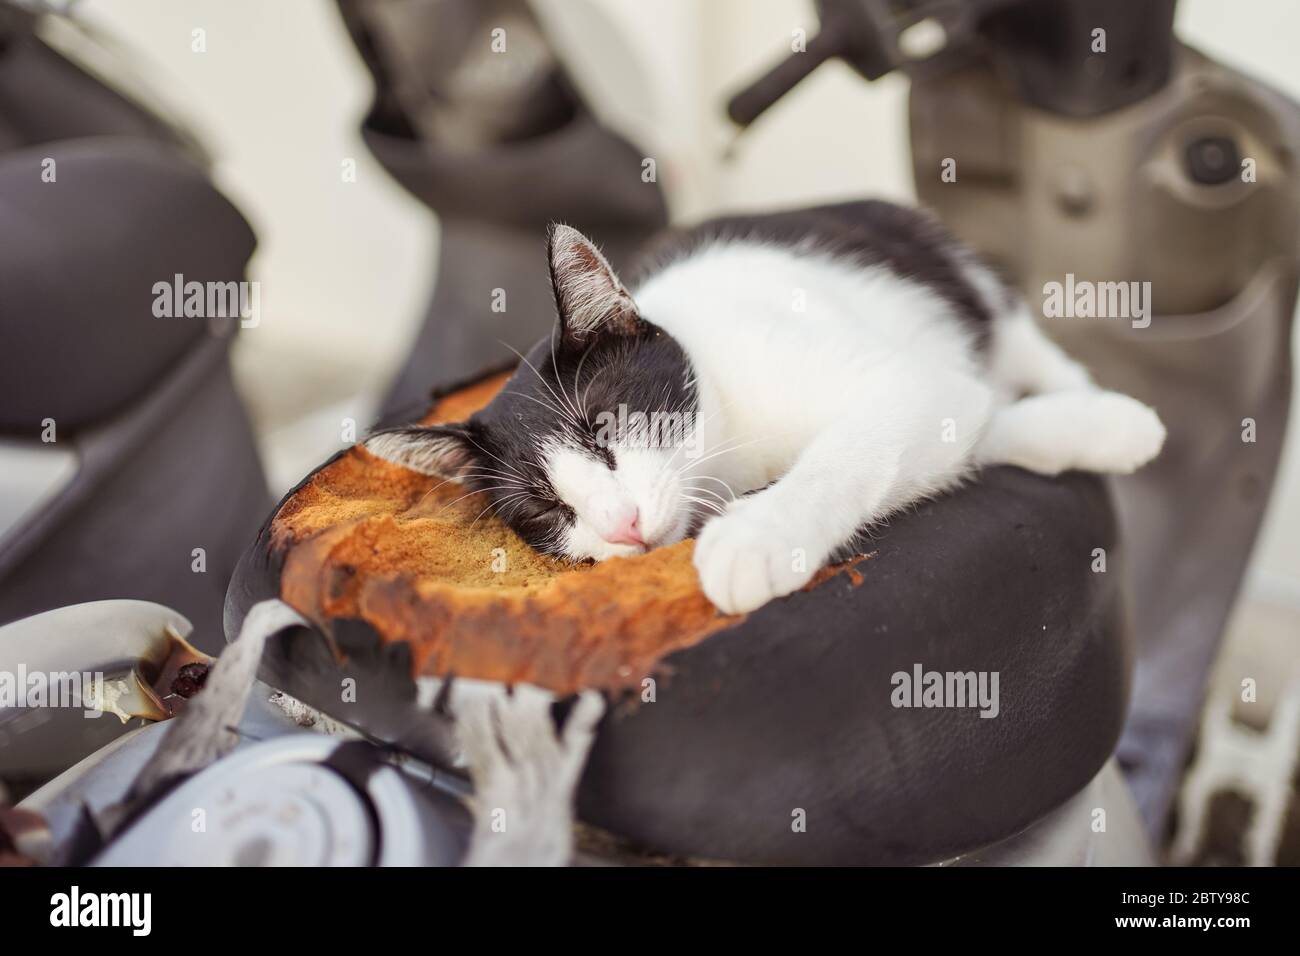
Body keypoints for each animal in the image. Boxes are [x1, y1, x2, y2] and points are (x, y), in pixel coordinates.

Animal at [366, 205, 1170, 616]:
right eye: (541, 509)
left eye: (602, 429)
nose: (620, 526)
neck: (731, 442)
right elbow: (973, 422)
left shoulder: (899, 377)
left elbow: (881, 432)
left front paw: (758, 536)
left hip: (956, 276)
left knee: (1024, 342)